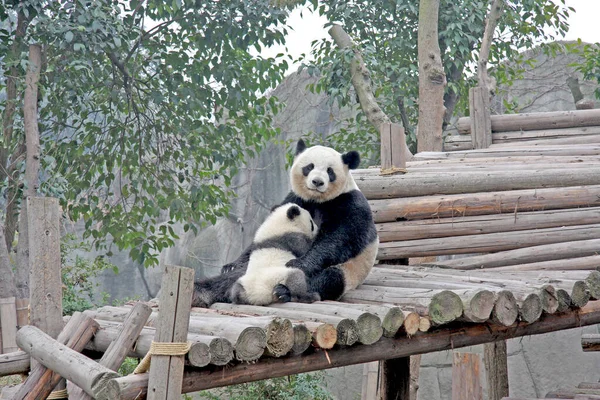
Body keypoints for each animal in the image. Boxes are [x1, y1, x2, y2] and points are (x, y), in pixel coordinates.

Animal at [223, 139, 378, 302]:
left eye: (330, 171)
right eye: (309, 167)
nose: (317, 182)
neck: (318, 200)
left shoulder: (350, 203)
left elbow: (339, 239)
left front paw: (298, 264)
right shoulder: (296, 198)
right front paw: (231, 265)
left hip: (351, 271)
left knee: (329, 278)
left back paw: (285, 291)